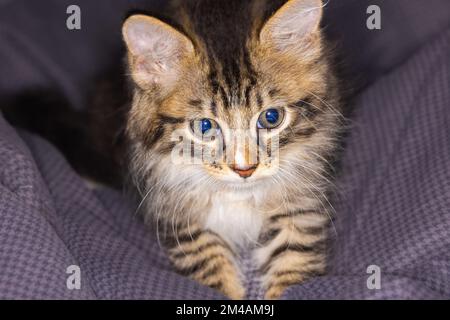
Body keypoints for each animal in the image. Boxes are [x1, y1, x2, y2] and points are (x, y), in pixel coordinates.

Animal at [121, 0, 342, 300]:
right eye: (204, 126)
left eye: (271, 118)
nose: (244, 169)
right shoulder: (177, 213)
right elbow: (208, 260)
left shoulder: (300, 203)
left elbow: (294, 259)